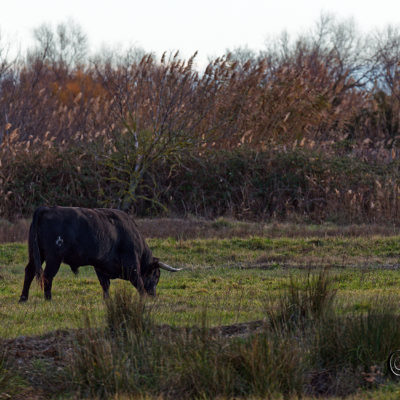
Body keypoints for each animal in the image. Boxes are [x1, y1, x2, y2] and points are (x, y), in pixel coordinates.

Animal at [19, 206, 180, 300]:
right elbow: (138, 283)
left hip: (35, 254)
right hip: (53, 258)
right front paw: (144, 298)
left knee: (29, 271)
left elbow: (105, 285)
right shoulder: (132, 265)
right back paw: (48, 298)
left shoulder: (100, 267)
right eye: (156, 275)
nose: (154, 296)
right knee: (47, 276)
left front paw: (107, 300)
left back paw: (23, 298)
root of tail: (46, 209)